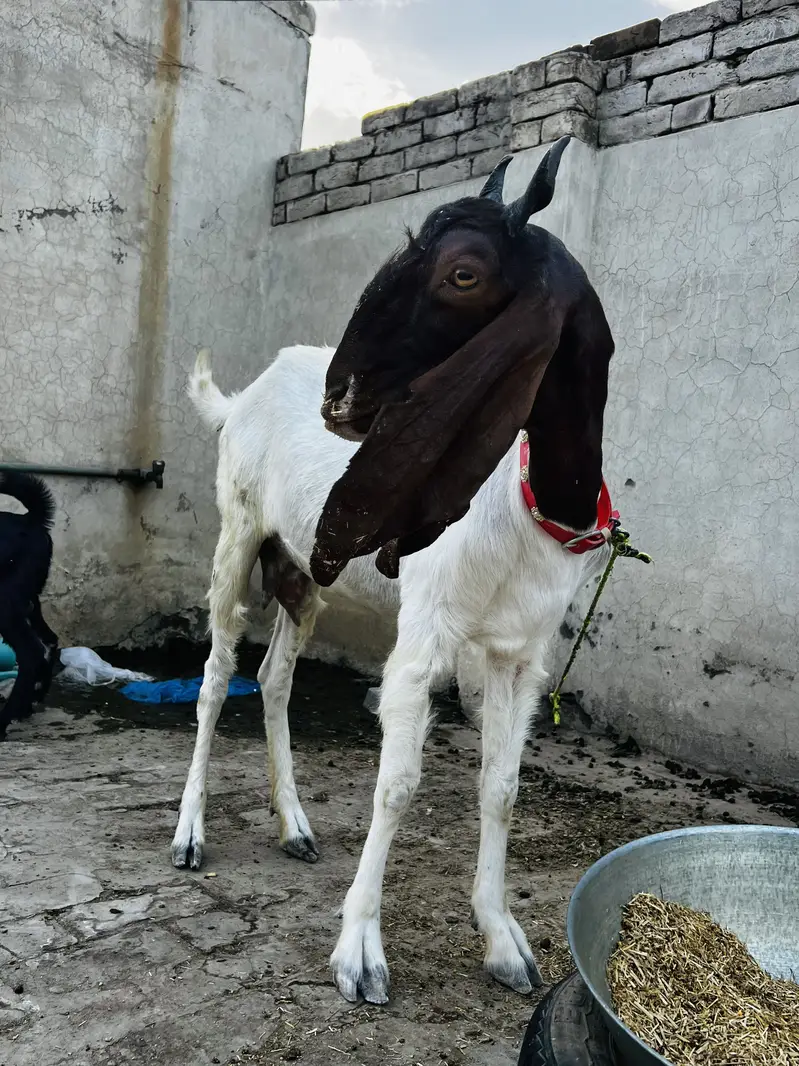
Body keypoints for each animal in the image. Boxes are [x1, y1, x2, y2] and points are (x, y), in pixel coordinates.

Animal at [172, 137, 616, 1006]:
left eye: (463, 274)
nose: (339, 396)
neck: (527, 505)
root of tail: (241, 397)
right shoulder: (424, 634)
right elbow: (398, 784)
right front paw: (359, 953)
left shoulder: (520, 652)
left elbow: (502, 786)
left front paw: (503, 943)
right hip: (237, 533)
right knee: (214, 676)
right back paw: (189, 834)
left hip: (303, 571)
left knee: (273, 677)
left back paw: (295, 826)